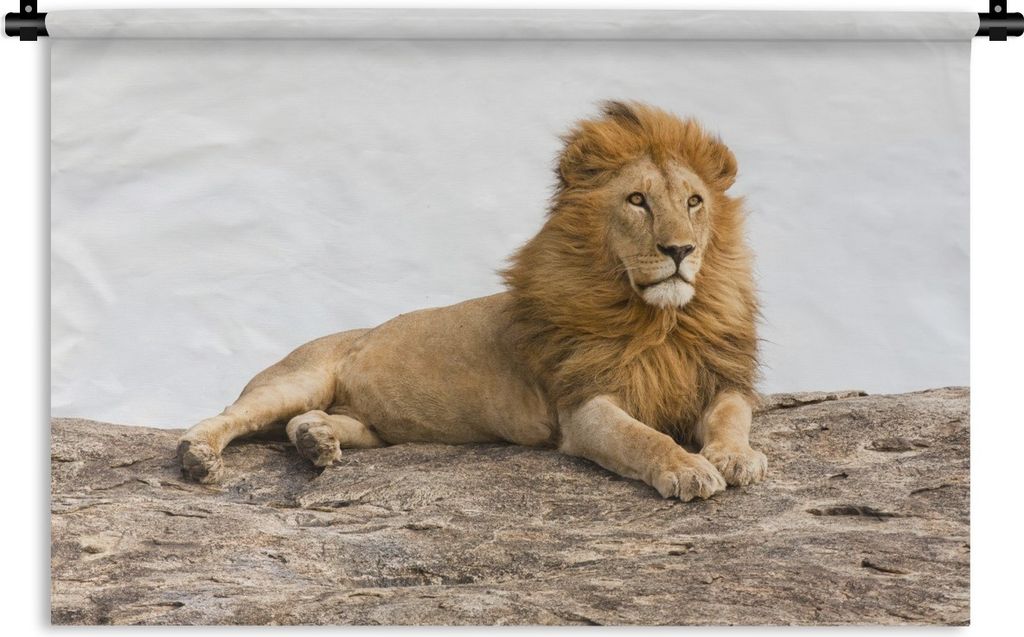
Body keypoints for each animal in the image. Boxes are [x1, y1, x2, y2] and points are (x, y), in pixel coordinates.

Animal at [177, 101, 766, 501]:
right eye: (637, 200)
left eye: (694, 202)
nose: (680, 250)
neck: (661, 321)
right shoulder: (583, 406)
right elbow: (642, 437)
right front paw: (687, 468)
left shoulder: (718, 378)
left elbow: (733, 417)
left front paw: (735, 457)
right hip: (297, 377)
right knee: (230, 414)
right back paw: (197, 456)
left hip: (371, 427)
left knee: (312, 420)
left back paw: (315, 441)